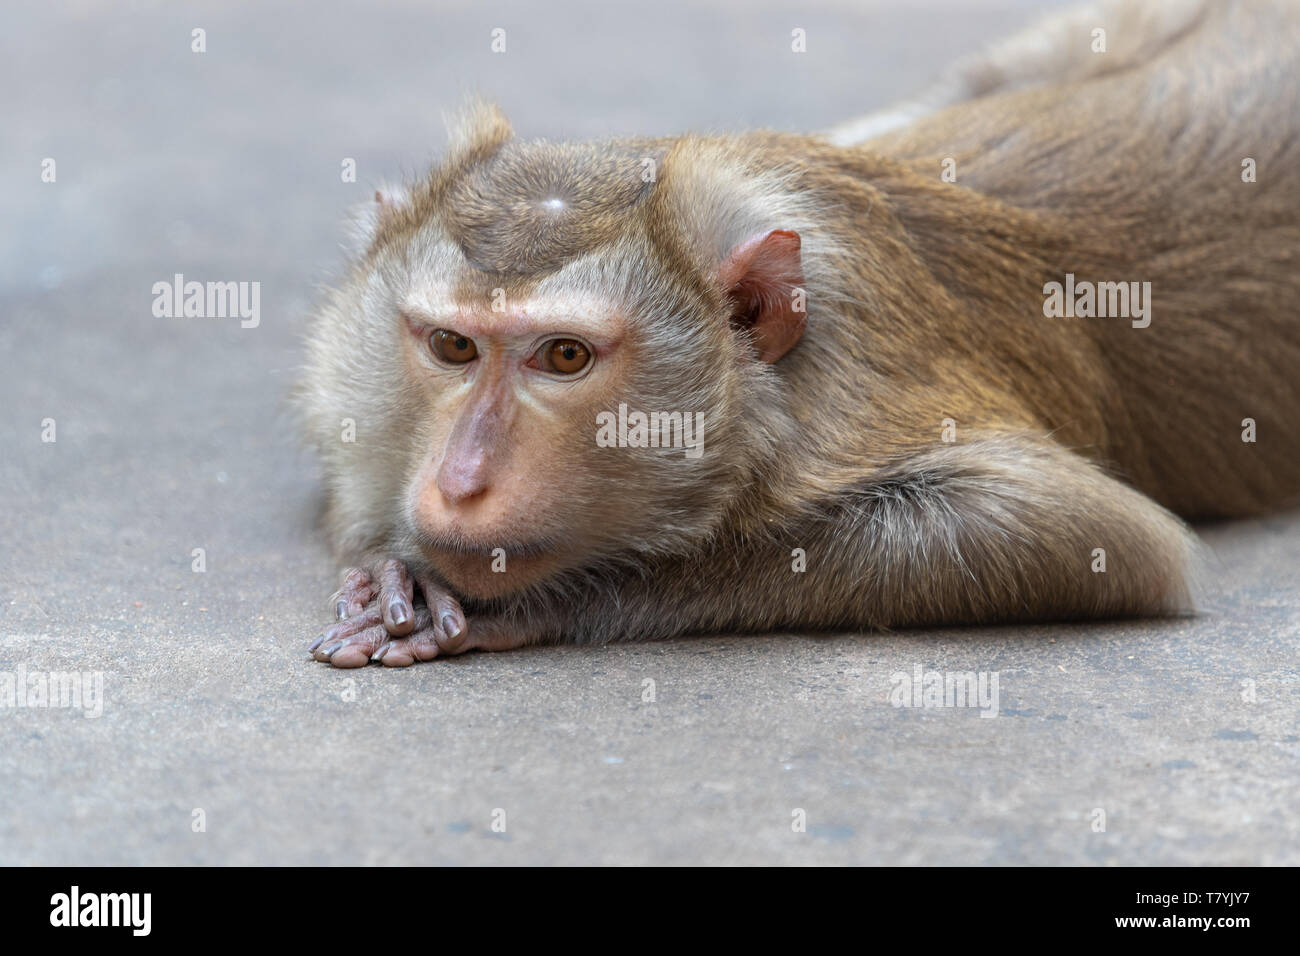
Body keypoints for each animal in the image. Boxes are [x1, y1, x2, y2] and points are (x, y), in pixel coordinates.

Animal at [298, 0, 1300, 667]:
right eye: (453, 347)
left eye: (565, 357)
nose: (461, 481)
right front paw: (390, 560)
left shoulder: (858, 378)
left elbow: (1079, 535)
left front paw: (539, 596)